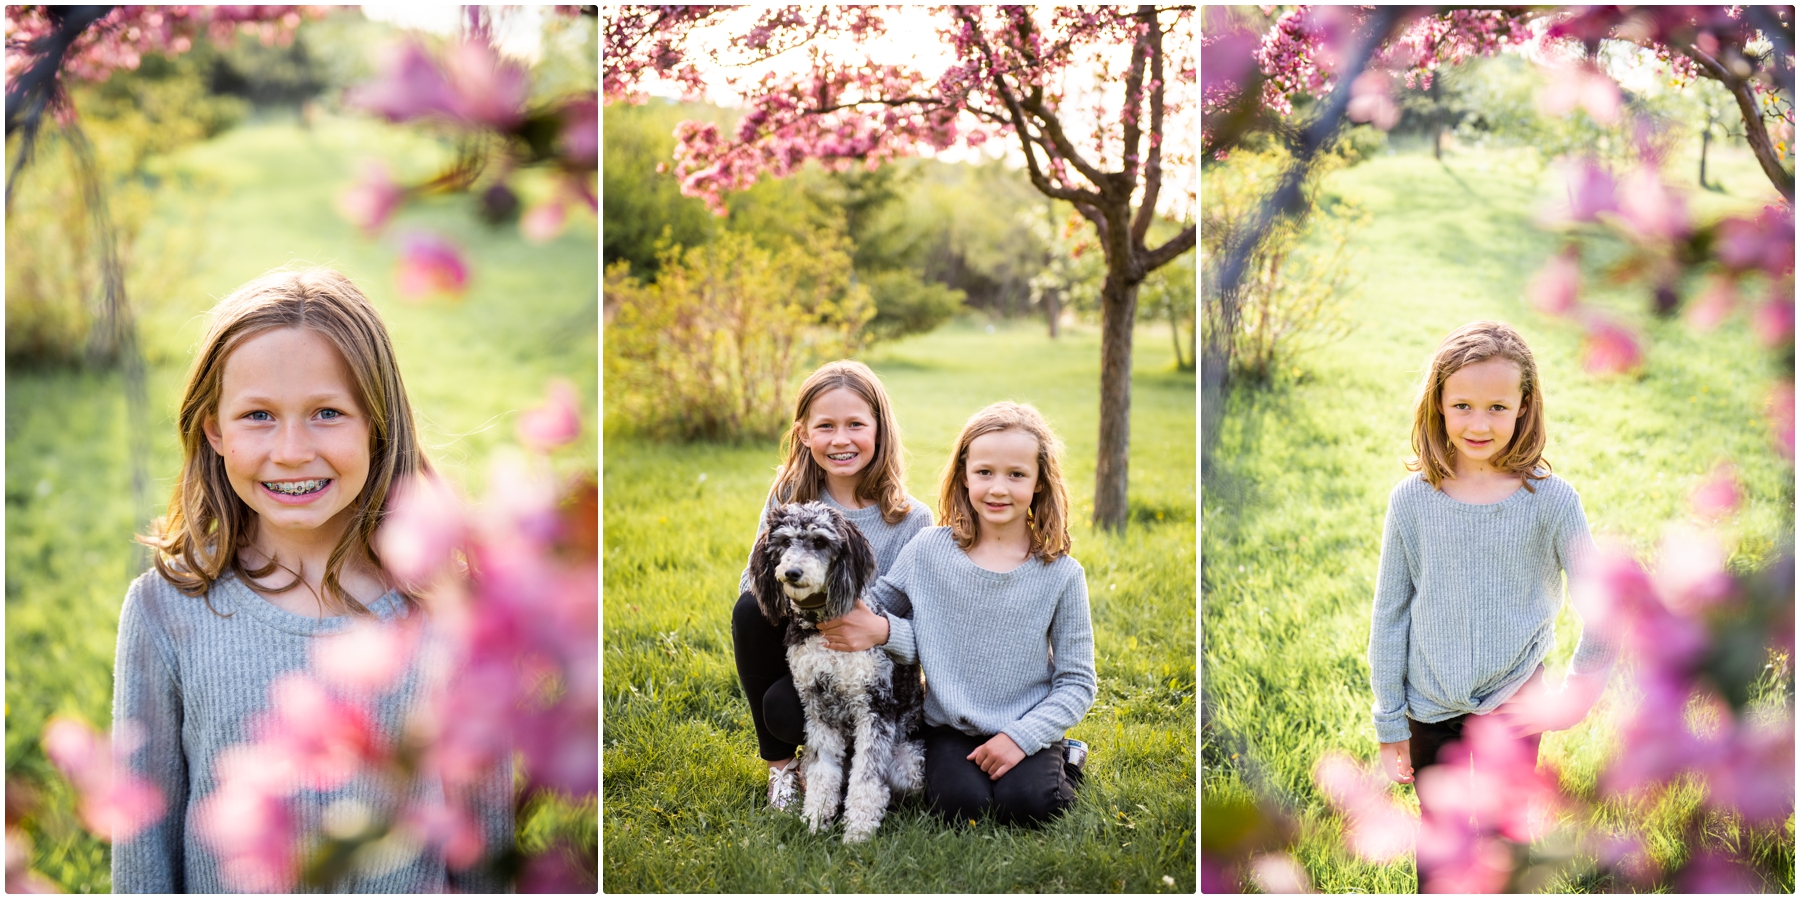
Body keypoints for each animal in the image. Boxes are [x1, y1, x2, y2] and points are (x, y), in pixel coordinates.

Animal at [752, 504, 928, 839]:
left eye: (820, 542)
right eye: (784, 542)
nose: (793, 573)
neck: (823, 625)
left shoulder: (874, 708)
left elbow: (867, 778)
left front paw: (857, 832)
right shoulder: (818, 708)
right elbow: (824, 773)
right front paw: (816, 820)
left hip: (908, 766)